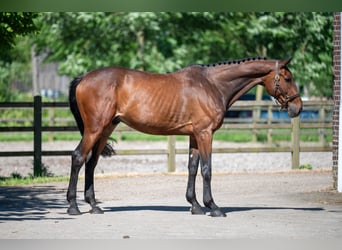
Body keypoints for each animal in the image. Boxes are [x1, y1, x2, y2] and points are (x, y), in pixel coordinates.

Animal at [66, 57, 302, 217]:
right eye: (288, 78)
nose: (298, 107)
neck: (212, 85)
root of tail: (84, 77)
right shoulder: (205, 133)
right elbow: (206, 170)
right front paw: (213, 207)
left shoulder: (194, 135)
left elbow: (192, 167)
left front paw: (195, 205)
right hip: (95, 128)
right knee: (78, 157)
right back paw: (73, 206)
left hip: (106, 128)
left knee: (91, 162)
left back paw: (94, 205)